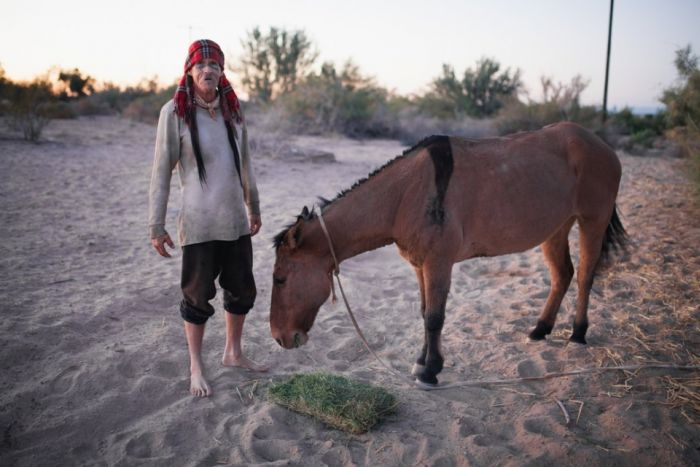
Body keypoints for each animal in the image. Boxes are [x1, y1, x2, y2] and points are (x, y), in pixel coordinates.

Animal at [270, 122, 628, 386]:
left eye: (280, 278)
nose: (280, 337)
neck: (406, 194)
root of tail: (601, 146)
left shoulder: (438, 263)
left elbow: (435, 317)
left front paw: (430, 371)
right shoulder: (420, 265)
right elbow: (424, 311)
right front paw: (422, 363)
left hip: (592, 221)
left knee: (584, 276)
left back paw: (578, 332)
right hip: (555, 228)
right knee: (562, 275)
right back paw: (541, 328)